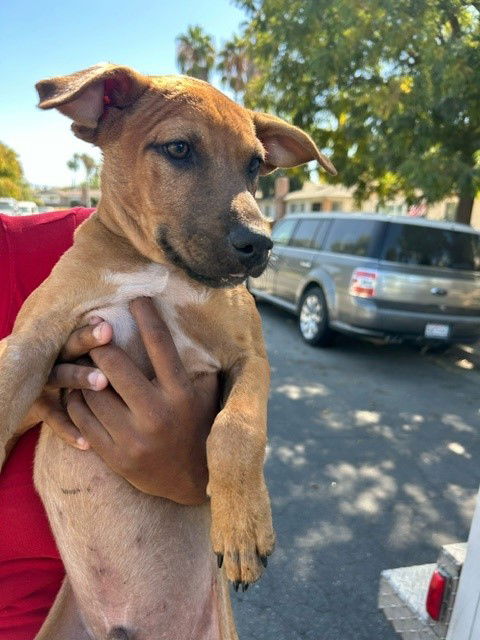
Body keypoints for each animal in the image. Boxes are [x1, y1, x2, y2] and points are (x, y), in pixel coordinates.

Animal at [0, 65, 336, 640]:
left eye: (255, 165)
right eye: (179, 148)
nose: (262, 245)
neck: (156, 268)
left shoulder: (250, 358)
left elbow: (236, 429)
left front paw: (243, 526)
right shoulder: (33, 340)